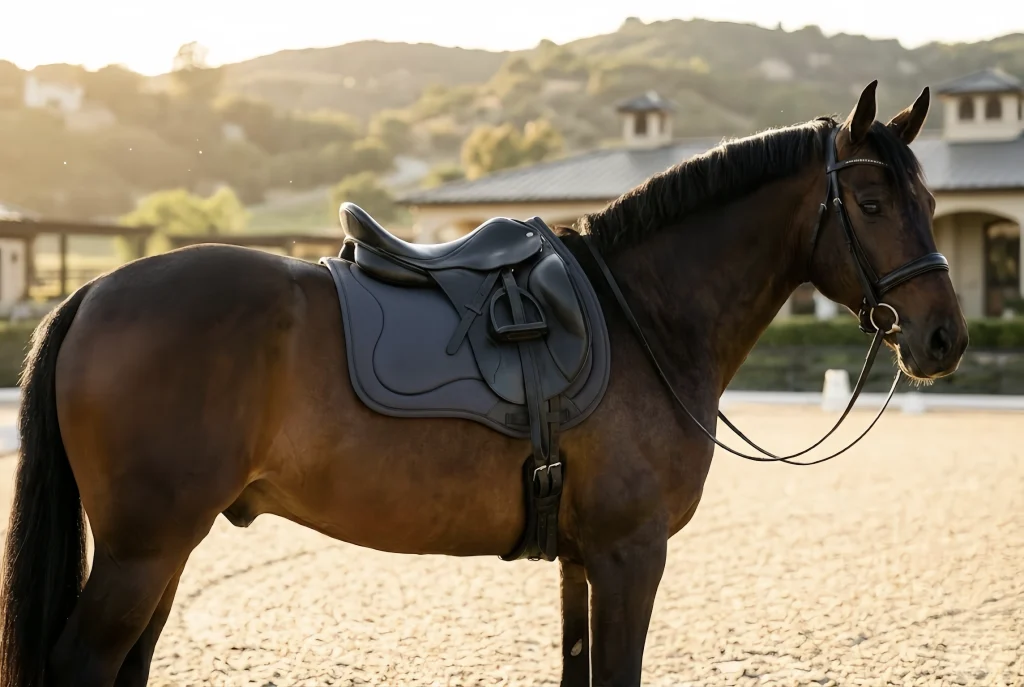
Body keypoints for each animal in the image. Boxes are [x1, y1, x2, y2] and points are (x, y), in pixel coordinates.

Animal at [0, 80, 967, 687]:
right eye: (872, 204)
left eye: (930, 202)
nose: (944, 337)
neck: (642, 316)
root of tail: (94, 292)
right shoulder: (631, 553)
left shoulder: (585, 557)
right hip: (144, 545)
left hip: (165, 544)